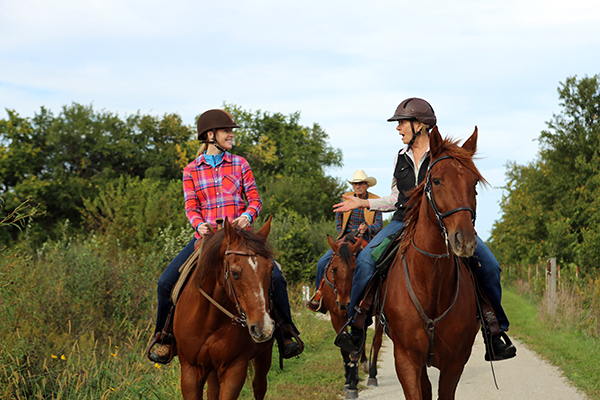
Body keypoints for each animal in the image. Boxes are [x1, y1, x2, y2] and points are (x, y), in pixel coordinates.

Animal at [173, 219, 276, 400]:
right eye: (234, 273)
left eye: (271, 269)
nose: (264, 328)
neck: (209, 320)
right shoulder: (189, 370)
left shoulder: (234, 368)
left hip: (264, 353)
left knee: (259, 386)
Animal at [324, 233, 384, 398]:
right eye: (334, 269)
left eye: (354, 269)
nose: (344, 303)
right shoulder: (336, 316)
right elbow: (346, 348)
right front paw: (347, 380)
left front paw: (354, 382)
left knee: (376, 342)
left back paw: (371, 374)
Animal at [382, 126, 486, 398]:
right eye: (436, 181)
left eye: (474, 183)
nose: (464, 240)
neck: (431, 282)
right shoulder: (406, 360)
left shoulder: (455, 362)